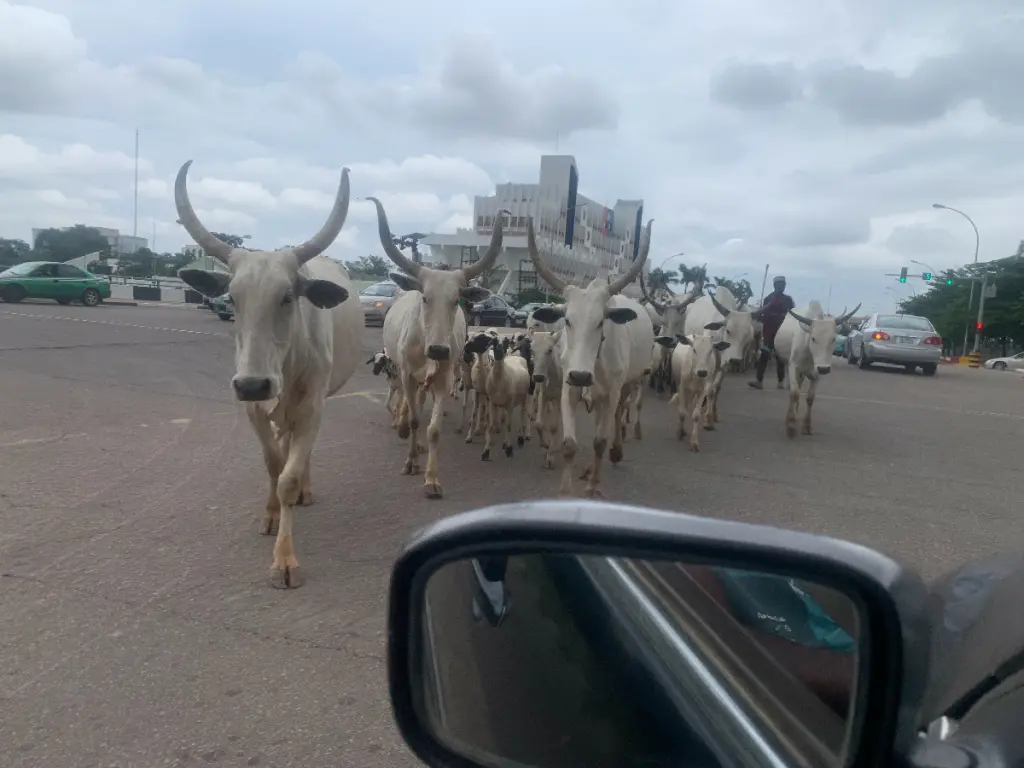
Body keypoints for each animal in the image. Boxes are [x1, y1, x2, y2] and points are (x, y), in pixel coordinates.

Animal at [176, 156, 364, 589]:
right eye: (232, 297)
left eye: (287, 296)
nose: (253, 383)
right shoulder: (253, 409)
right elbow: (272, 465)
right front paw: (271, 515)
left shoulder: (312, 407)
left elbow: (288, 477)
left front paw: (284, 560)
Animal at [528, 217, 655, 499]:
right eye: (566, 320)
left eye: (601, 322)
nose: (581, 375)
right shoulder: (568, 388)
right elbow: (568, 444)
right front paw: (565, 490)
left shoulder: (612, 392)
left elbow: (599, 441)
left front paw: (594, 485)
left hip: (627, 384)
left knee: (616, 417)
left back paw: (613, 453)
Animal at [770, 305, 860, 438]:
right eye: (813, 338)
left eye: (833, 339)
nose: (824, 369)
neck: (810, 352)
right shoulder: (793, 366)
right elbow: (794, 393)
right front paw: (791, 425)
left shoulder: (816, 374)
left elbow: (810, 398)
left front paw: (806, 426)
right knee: (793, 390)